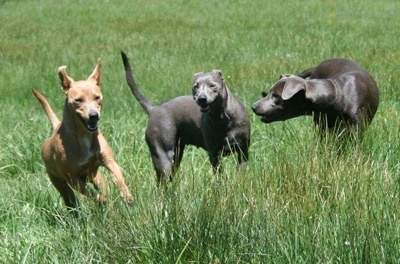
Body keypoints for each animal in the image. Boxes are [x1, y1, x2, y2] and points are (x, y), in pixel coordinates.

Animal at [32, 59, 133, 212]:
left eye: (97, 97)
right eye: (78, 100)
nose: (94, 116)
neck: (84, 135)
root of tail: (56, 127)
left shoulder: (109, 160)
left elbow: (118, 177)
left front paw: (127, 196)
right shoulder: (73, 178)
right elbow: (92, 194)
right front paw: (102, 199)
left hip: (95, 176)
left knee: (102, 185)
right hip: (61, 184)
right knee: (71, 199)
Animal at [120, 51, 250, 184]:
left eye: (212, 85)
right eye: (195, 86)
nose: (202, 98)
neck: (222, 118)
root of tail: (154, 109)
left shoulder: (243, 151)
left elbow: (241, 172)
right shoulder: (214, 154)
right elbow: (219, 174)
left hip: (176, 156)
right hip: (164, 155)